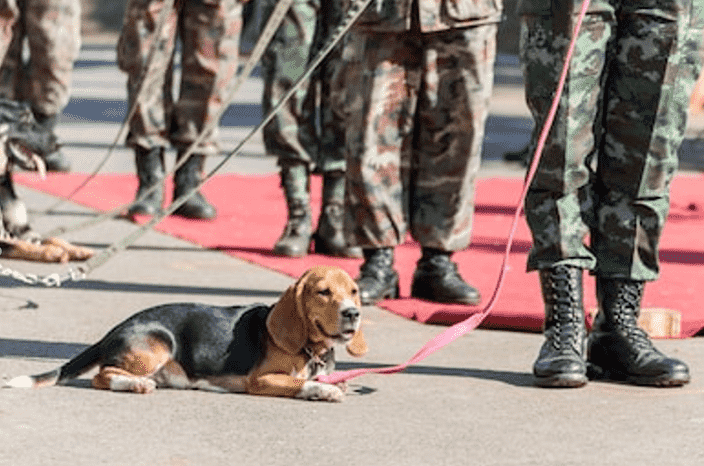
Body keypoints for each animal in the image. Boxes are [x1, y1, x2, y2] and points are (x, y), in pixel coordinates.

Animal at [0, 98, 93, 262]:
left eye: (33, 117)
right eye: (24, 120)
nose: (60, 143)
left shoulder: (23, 230)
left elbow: (52, 238)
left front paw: (76, 249)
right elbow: (20, 245)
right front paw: (52, 251)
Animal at [6, 266, 368, 400]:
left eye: (354, 291)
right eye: (323, 292)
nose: (353, 313)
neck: (311, 349)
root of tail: (117, 328)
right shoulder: (262, 380)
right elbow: (299, 383)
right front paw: (322, 390)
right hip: (160, 342)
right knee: (102, 375)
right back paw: (135, 384)